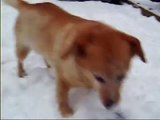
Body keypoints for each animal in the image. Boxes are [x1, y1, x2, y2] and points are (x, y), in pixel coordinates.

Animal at [5, 0, 146, 117]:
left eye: (122, 77)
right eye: (99, 78)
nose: (111, 106)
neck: (82, 71)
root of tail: (29, 5)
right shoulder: (63, 79)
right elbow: (62, 95)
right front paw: (66, 111)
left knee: (45, 57)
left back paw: (49, 66)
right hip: (23, 47)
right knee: (20, 60)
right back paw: (21, 72)